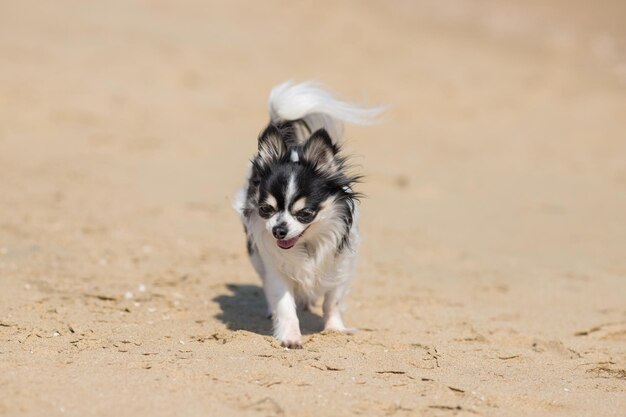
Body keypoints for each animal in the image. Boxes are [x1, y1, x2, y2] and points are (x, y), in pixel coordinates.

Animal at [234, 81, 380, 348]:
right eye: (265, 209)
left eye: (305, 213)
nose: (278, 230)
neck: (308, 244)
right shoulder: (276, 269)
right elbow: (284, 304)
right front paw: (290, 336)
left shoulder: (340, 267)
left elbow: (332, 301)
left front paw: (334, 330)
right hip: (256, 257)